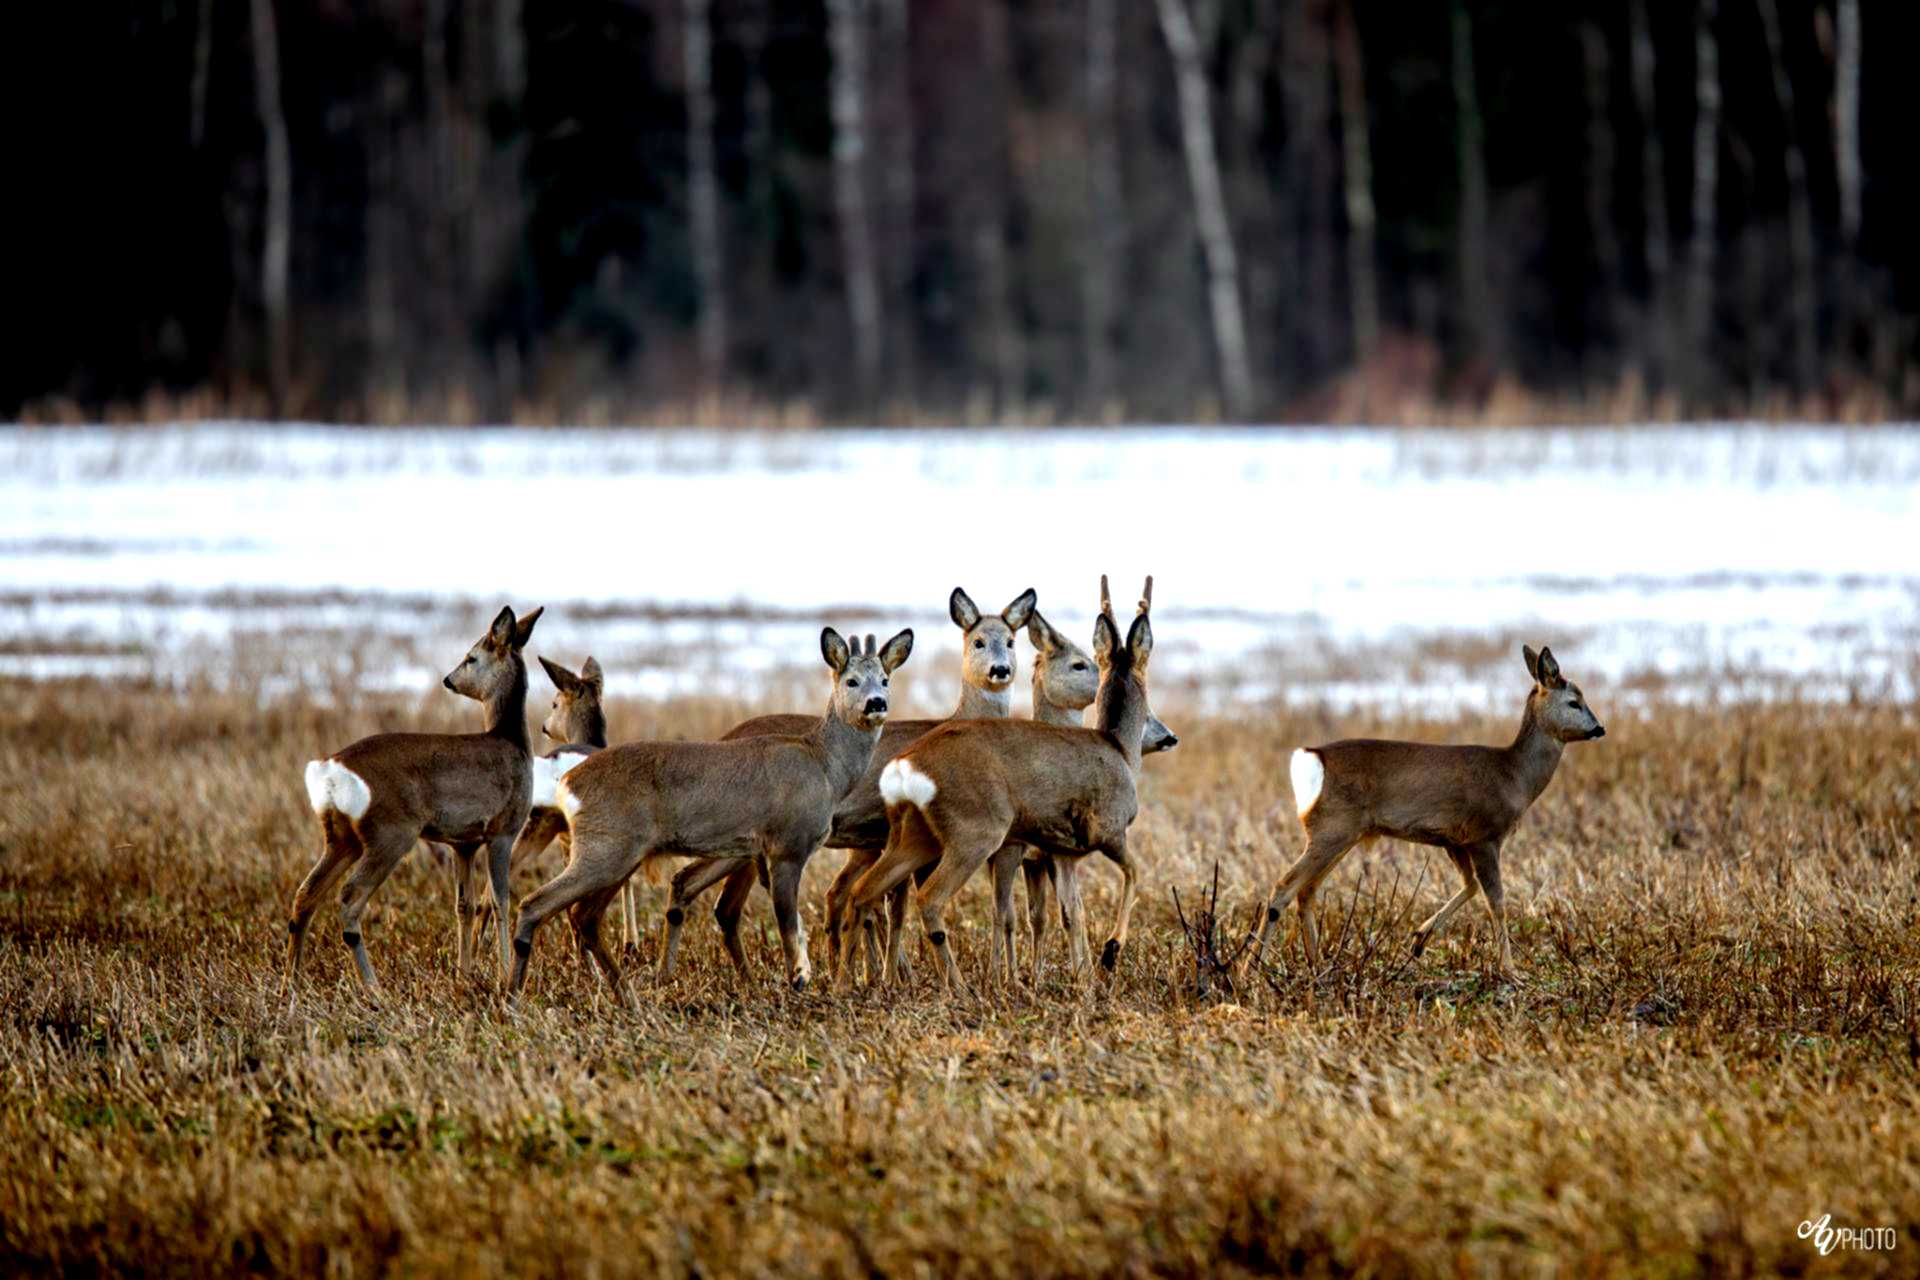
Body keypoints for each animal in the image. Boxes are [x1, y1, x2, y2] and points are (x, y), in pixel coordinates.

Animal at [284, 606, 545, 1005]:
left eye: (471, 658)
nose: (448, 680)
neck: (512, 742)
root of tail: (329, 768)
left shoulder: (463, 844)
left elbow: (465, 906)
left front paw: (464, 975)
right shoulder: (502, 829)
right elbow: (499, 901)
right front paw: (503, 976)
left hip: (341, 836)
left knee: (305, 895)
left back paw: (290, 986)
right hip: (391, 831)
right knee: (348, 897)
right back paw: (373, 988)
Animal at [503, 625, 906, 1005]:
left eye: (885, 679)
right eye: (851, 680)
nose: (876, 703)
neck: (824, 766)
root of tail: (568, 781)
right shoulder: (787, 844)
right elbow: (787, 919)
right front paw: (799, 978)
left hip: (617, 853)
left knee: (583, 916)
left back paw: (627, 996)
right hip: (606, 847)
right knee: (536, 905)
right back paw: (514, 998)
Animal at [660, 587, 1044, 982]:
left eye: (1011, 641)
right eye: (978, 641)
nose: (1000, 670)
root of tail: (724, 736)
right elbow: (895, 908)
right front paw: (896, 976)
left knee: (700, 891)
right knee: (715, 897)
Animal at [844, 575, 1167, 997]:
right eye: (1081, 664)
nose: (1167, 737)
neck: (1118, 747)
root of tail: (904, 766)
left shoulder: (1059, 851)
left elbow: (1070, 910)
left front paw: (1082, 978)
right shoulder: (1107, 831)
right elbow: (1134, 874)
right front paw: (1109, 952)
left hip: (912, 835)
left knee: (862, 892)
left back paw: (844, 980)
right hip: (976, 832)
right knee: (928, 898)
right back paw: (959, 986)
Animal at [1244, 640, 1605, 982]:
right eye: (1574, 701)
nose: (1599, 729)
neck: (1514, 776)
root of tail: (1311, 756)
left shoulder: (1454, 840)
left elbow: (1470, 886)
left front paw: (1419, 939)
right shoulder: (1484, 835)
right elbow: (1497, 903)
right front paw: (1510, 972)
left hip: (1342, 833)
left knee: (1306, 891)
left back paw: (1317, 965)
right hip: (1333, 828)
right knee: (1283, 887)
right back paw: (1250, 970)